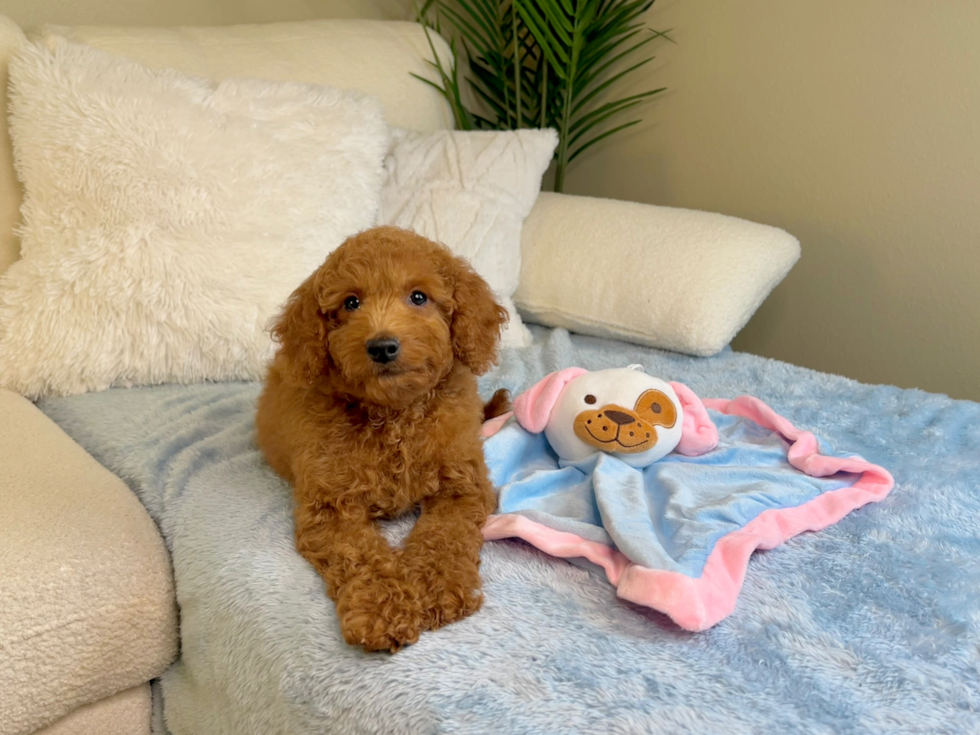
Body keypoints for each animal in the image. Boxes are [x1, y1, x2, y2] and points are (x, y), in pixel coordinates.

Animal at [256, 227, 510, 652]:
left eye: (419, 297)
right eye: (351, 302)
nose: (382, 346)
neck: (395, 415)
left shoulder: (463, 486)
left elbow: (445, 535)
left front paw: (437, 587)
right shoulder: (330, 510)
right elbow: (360, 555)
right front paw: (384, 610)